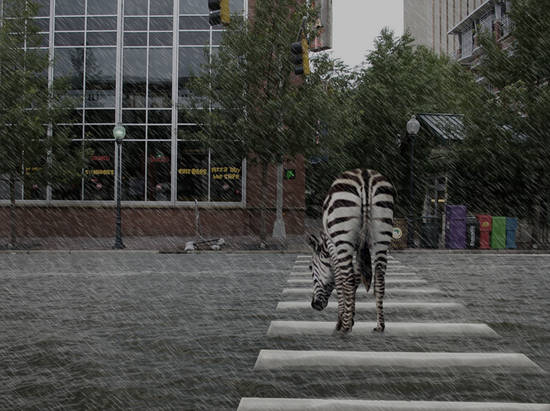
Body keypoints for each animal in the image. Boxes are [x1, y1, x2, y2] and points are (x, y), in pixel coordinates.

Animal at [308, 169, 394, 334]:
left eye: (310, 269)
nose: (314, 305)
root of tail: (365, 175)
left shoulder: (333, 246)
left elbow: (341, 280)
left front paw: (342, 321)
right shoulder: (358, 248)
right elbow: (357, 277)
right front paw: (350, 316)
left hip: (343, 234)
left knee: (347, 279)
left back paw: (345, 328)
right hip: (381, 237)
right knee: (379, 279)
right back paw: (380, 325)